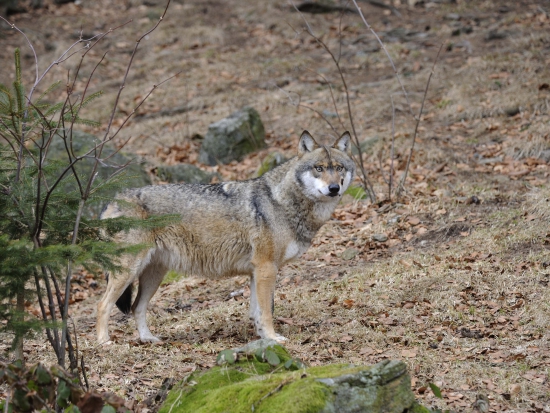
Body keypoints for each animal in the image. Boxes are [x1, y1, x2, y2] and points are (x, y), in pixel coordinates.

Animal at [97, 130, 356, 342]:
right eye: (319, 168)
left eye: (339, 168)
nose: (334, 188)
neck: (281, 201)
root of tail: (111, 201)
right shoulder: (266, 268)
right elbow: (267, 311)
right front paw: (274, 339)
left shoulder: (257, 271)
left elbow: (257, 312)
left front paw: (263, 339)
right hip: (128, 272)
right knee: (103, 305)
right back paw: (104, 343)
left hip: (153, 274)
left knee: (137, 308)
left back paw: (148, 339)